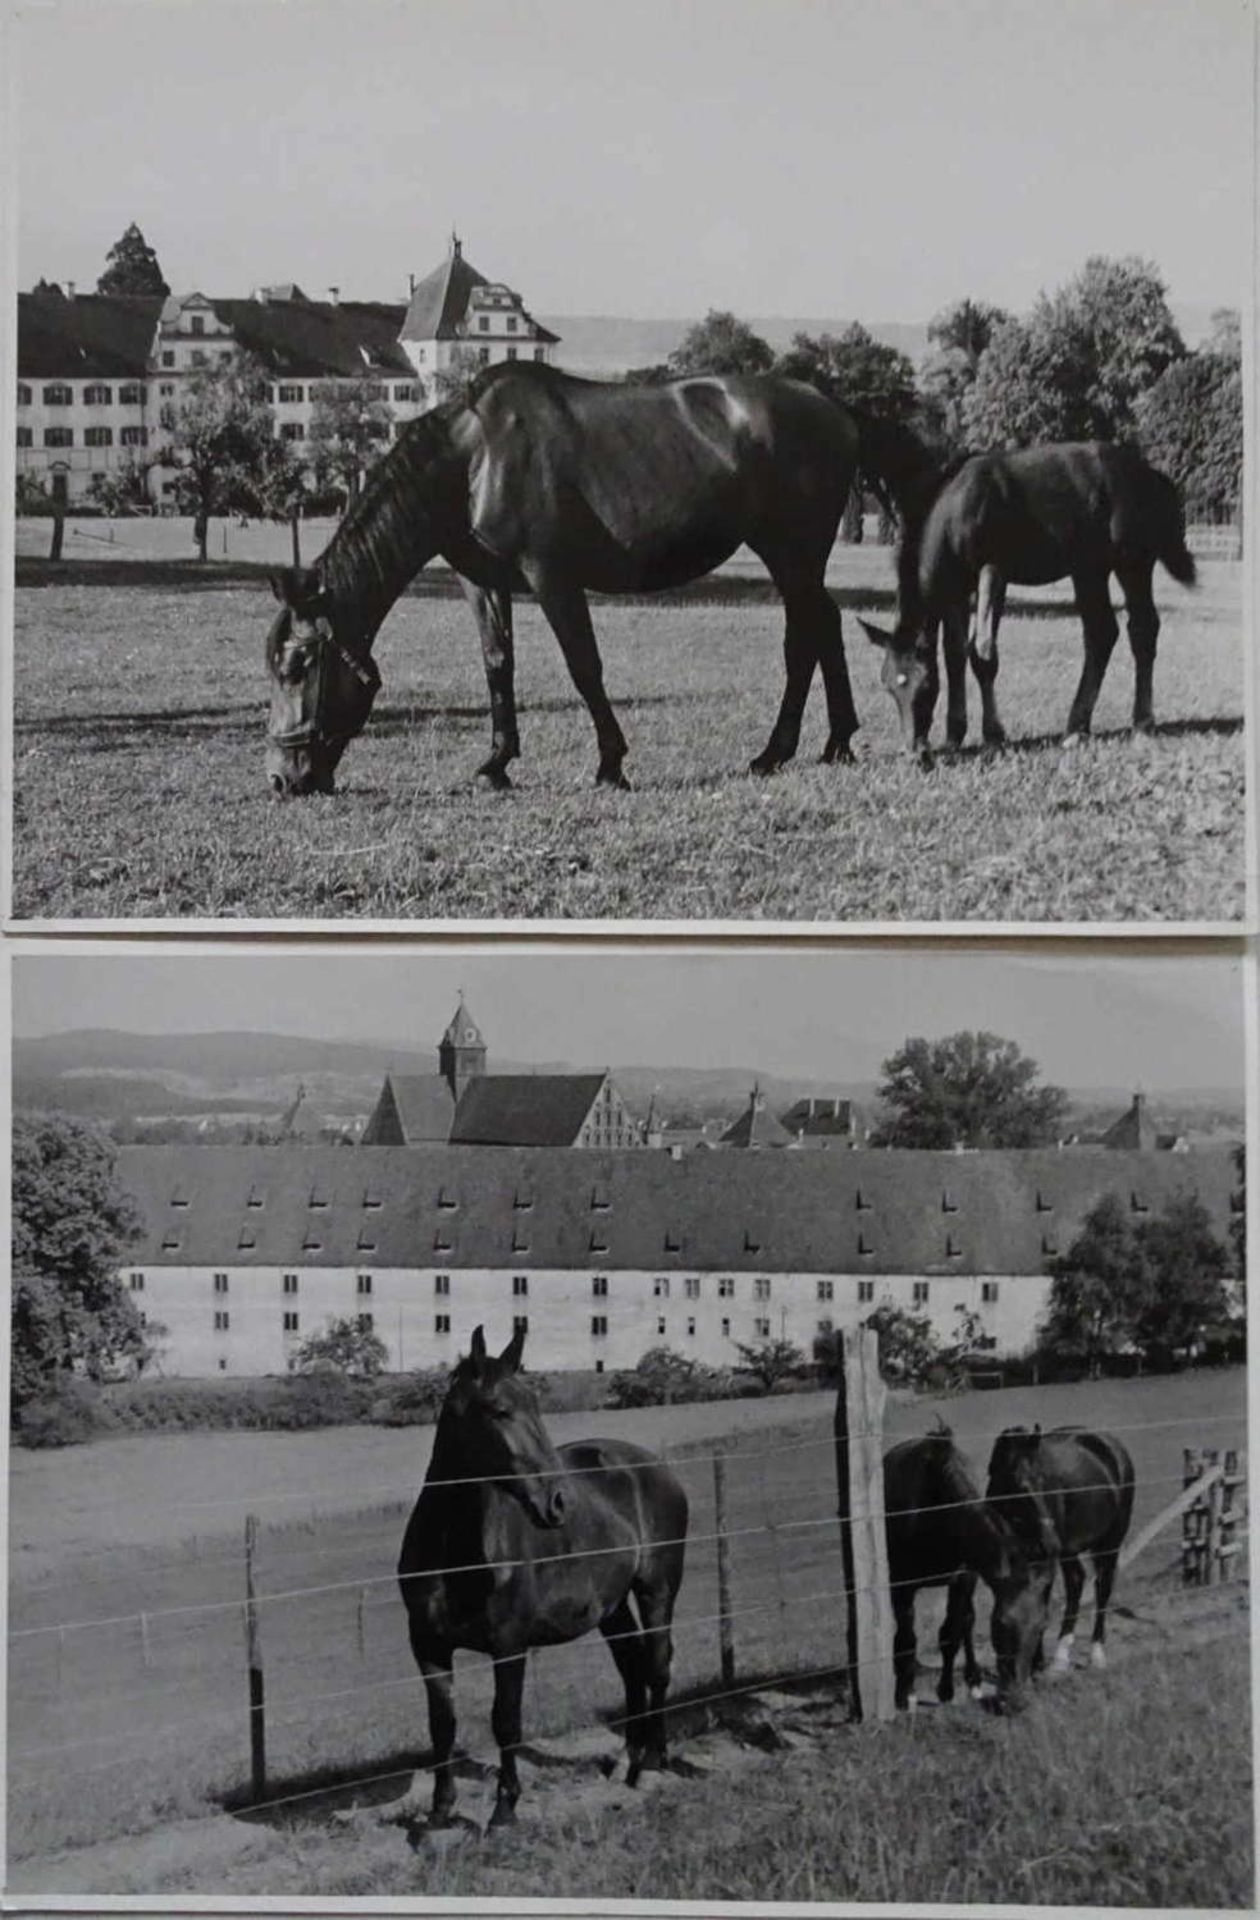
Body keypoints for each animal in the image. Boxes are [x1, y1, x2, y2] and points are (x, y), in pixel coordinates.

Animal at [261, 360, 921, 794]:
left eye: (297, 666)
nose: (283, 778)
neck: (474, 458)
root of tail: (834, 407)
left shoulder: (552, 577)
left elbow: (584, 667)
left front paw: (611, 764)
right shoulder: (482, 581)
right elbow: (497, 665)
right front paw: (497, 764)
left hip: (792, 552)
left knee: (807, 635)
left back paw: (780, 751)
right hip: (792, 557)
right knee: (823, 626)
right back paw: (831, 744)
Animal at [395, 1320, 683, 1827]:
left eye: (536, 1406)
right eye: (500, 1410)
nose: (557, 1503)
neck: (456, 1552)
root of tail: (654, 1468)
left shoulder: (509, 1645)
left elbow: (505, 1721)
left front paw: (504, 1809)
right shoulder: (428, 1645)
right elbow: (442, 1725)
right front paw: (440, 1813)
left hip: (657, 1591)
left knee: (657, 1665)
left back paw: (651, 1765)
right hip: (610, 1607)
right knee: (631, 1665)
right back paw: (627, 1763)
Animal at [860, 445, 1198, 752]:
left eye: (925, 685)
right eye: (888, 686)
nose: (915, 751)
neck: (955, 506)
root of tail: (1152, 475)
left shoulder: (993, 571)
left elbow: (982, 652)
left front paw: (993, 735)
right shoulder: (956, 587)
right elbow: (955, 654)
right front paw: (955, 734)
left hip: (1133, 563)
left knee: (1142, 629)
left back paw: (1142, 722)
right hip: (1089, 570)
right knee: (1101, 633)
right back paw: (1077, 728)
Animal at [887, 1428, 1052, 1712]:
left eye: (1041, 1625)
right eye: (1000, 1623)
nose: (1017, 1700)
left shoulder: (963, 1578)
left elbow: (952, 1633)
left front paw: (946, 1691)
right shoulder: (902, 1585)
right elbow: (907, 1638)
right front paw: (905, 1694)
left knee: (966, 1622)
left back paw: (973, 1680)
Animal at [991, 1420, 1137, 1674]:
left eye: (1047, 1482)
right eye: (1020, 1485)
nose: (1050, 1542)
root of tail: (1112, 1445)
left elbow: (1041, 1603)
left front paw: (1036, 1662)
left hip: (1109, 1543)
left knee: (1103, 1587)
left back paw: (1095, 1654)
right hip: (1071, 1551)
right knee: (1077, 1581)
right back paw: (1061, 1656)